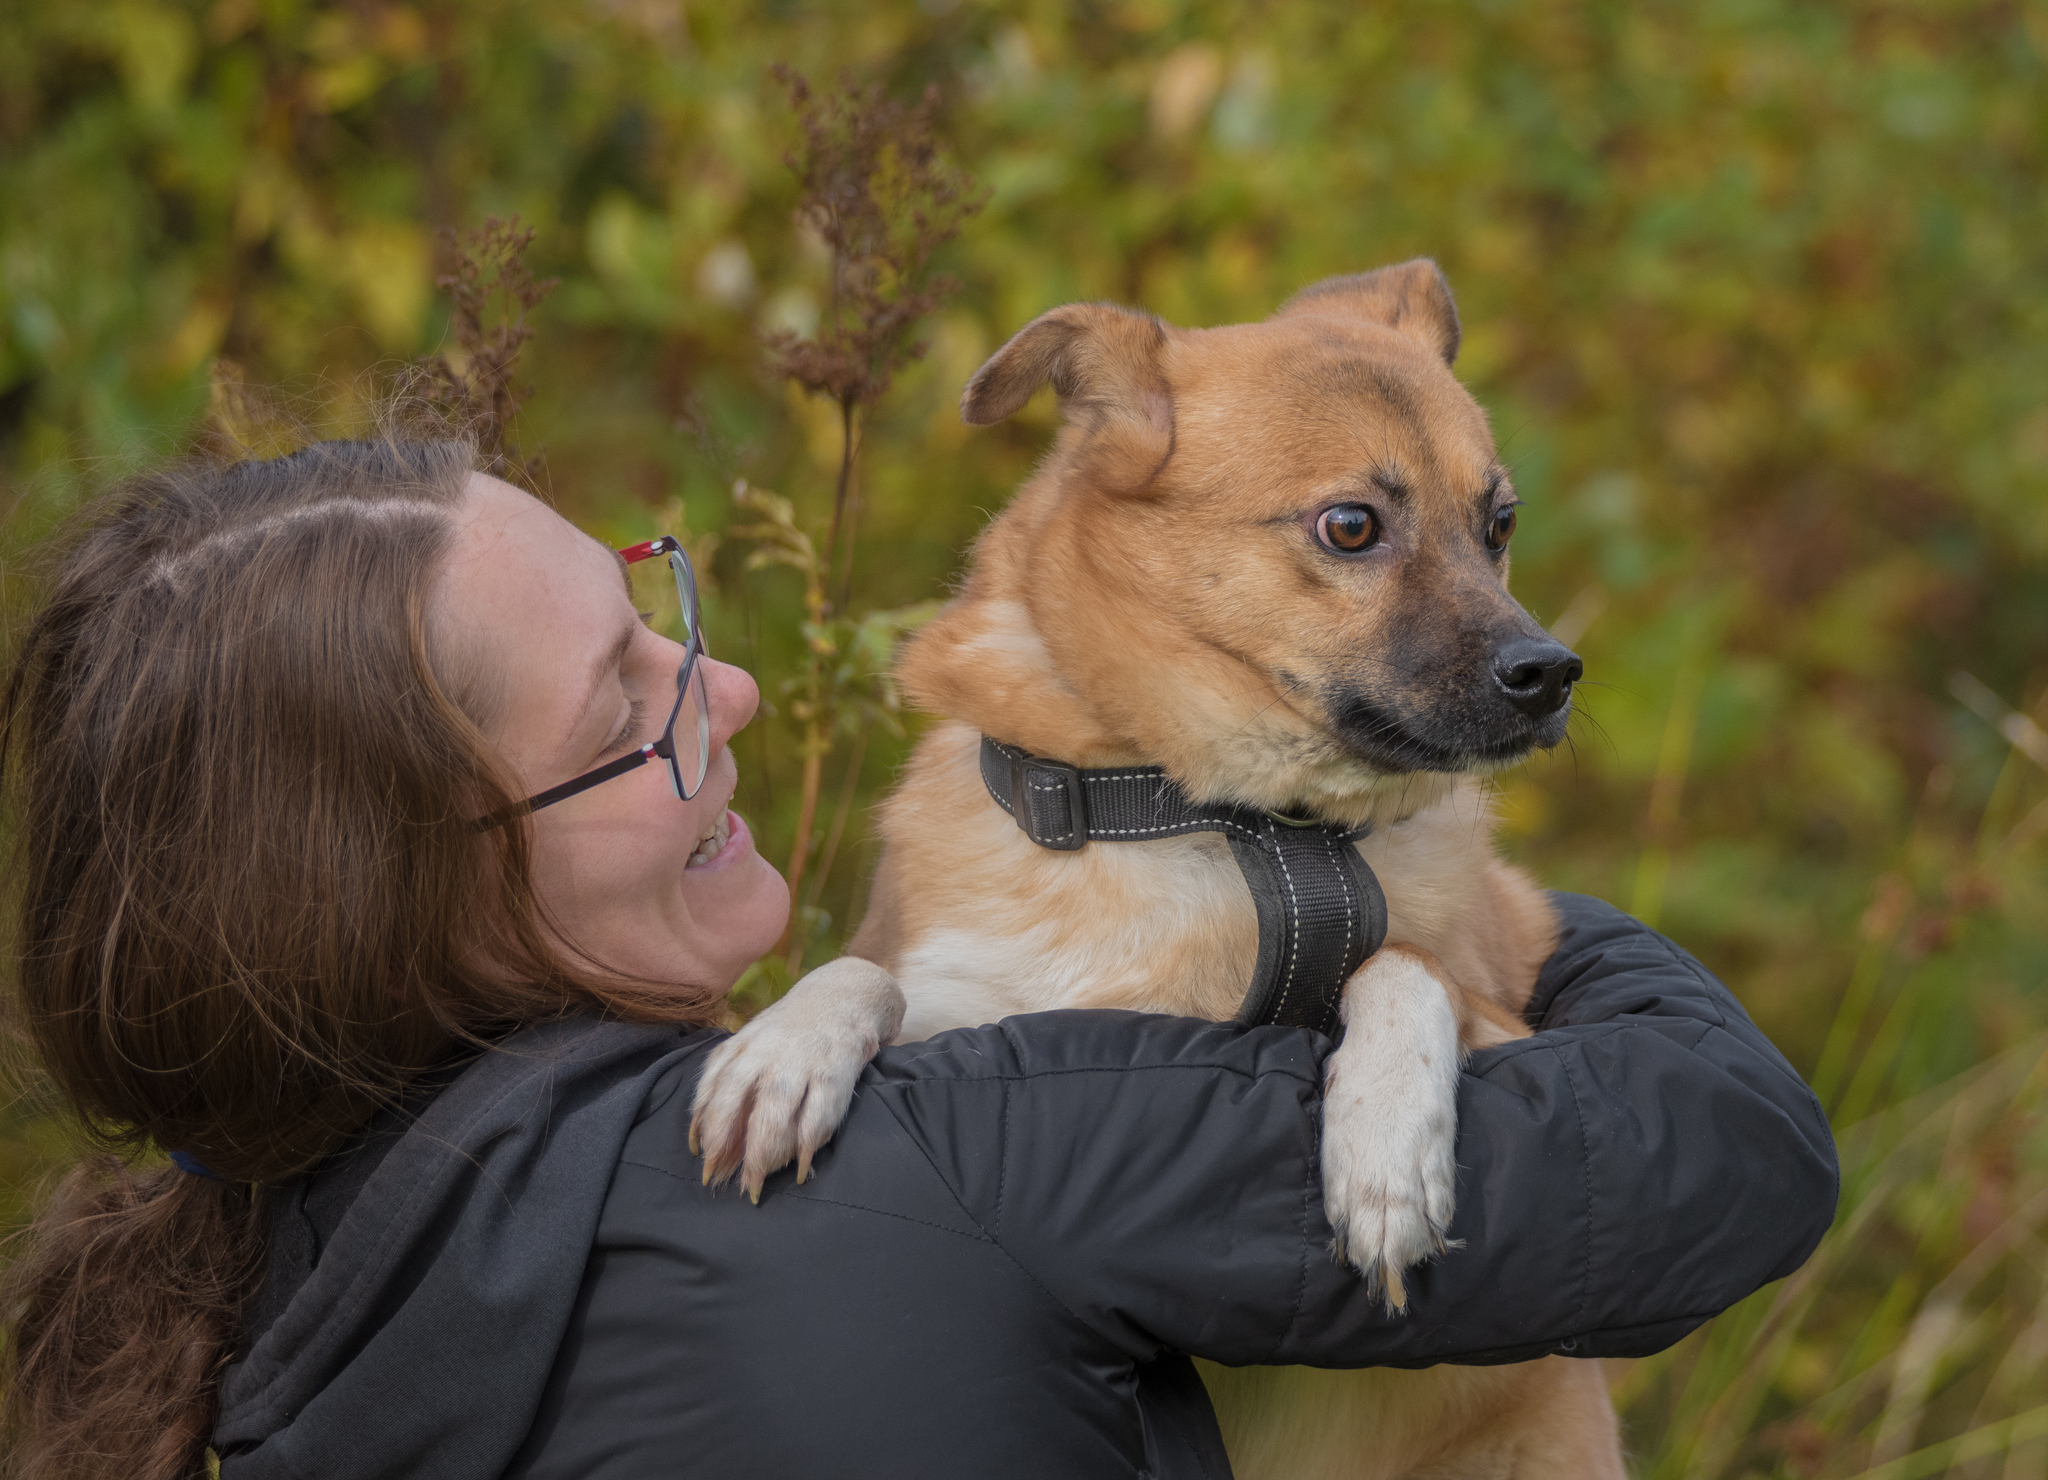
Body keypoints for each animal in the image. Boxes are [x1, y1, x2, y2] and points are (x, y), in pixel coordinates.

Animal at [696, 260, 1622, 1473]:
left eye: (1497, 524)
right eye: (1350, 526)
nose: (1550, 672)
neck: (1226, 826)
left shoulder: (1508, 1018)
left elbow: (1400, 964)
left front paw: (1382, 1149)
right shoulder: (965, 1013)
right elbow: (863, 973)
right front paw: (782, 1050)